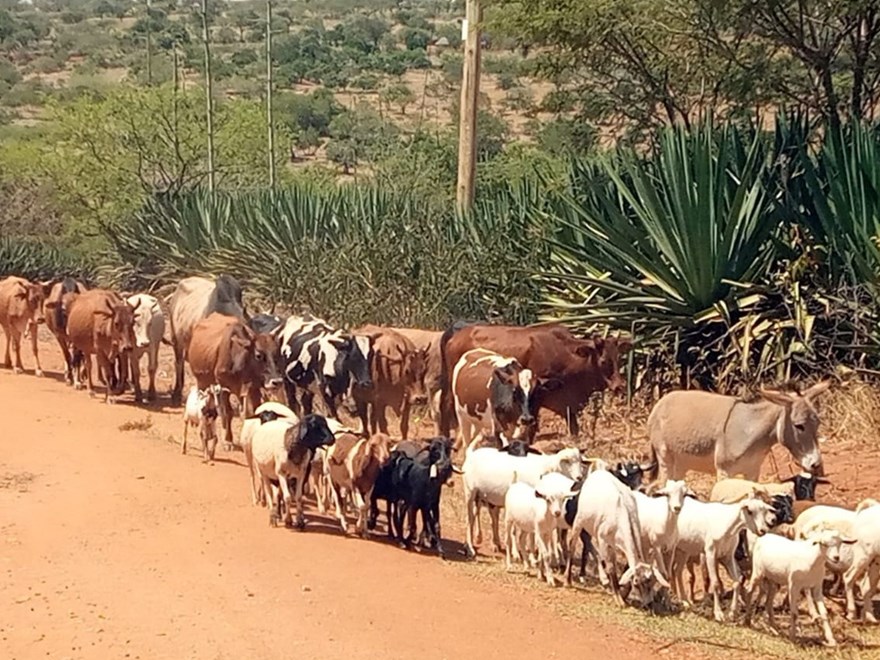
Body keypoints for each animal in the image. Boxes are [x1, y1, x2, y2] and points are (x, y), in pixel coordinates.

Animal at [187, 312, 284, 456]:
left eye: (276, 354)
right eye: (258, 355)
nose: (277, 382)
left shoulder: (252, 389)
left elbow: (254, 412)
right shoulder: (223, 387)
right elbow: (228, 412)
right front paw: (228, 441)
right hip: (202, 382)